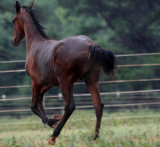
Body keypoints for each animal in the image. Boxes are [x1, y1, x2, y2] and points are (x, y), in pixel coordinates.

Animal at [11, 0, 115, 145]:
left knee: (69, 106)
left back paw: (53, 137)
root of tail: (90, 45)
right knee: (98, 104)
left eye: (13, 20)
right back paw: (95, 138)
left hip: (65, 81)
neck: (36, 44)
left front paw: (53, 121)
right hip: (91, 79)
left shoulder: (36, 82)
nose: (13, 40)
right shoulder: (48, 83)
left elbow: (34, 106)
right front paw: (52, 119)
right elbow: (40, 101)